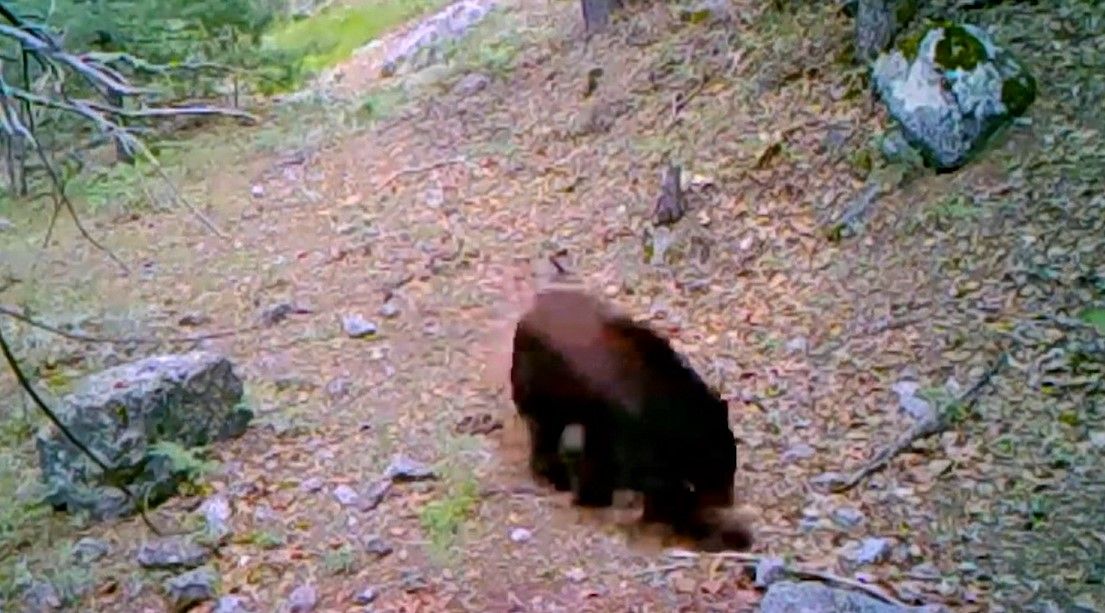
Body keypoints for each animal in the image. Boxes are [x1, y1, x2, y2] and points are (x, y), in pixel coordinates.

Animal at [509, 286, 751, 549]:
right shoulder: (626, 440)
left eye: (731, 463)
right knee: (542, 432)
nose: (726, 500)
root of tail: (529, 313)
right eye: (715, 466)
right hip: (538, 396)